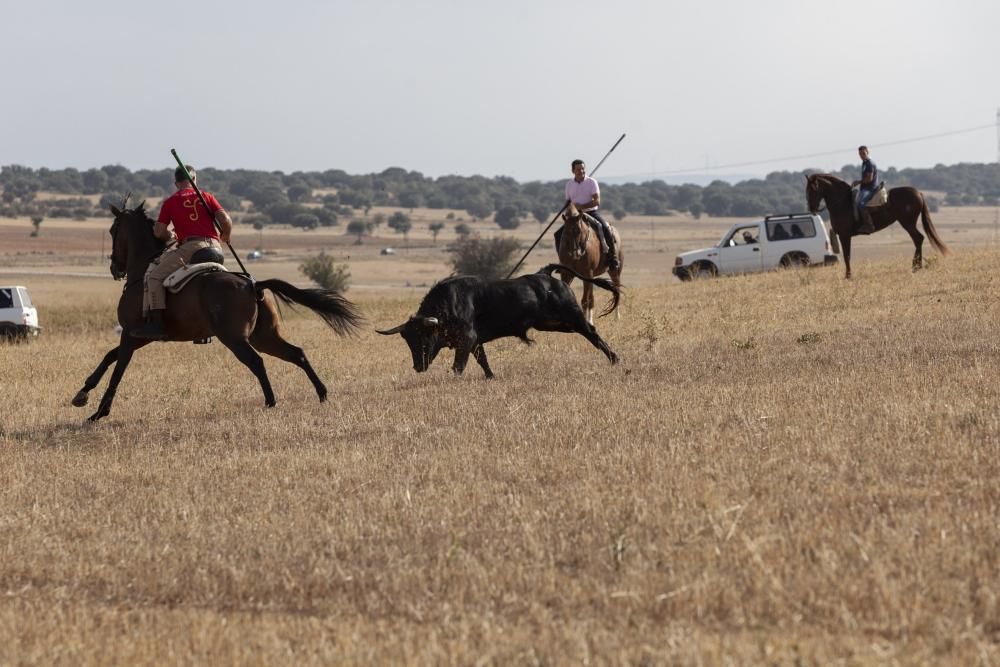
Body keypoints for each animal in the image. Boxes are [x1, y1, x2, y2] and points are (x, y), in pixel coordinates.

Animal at [73, 198, 364, 426]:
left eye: (113, 229)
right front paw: (82, 393)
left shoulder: (132, 335)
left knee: (257, 361)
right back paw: (322, 393)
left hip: (234, 338)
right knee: (297, 353)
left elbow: (118, 368)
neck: (142, 271)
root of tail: (253, 284)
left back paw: (271, 401)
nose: (115, 268)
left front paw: (98, 412)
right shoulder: (140, 337)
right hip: (264, 337)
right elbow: (109, 357)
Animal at [378, 264, 620, 378]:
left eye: (423, 336)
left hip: (572, 317)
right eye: (408, 340)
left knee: (591, 332)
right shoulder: (474, 342)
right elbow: (482, 360)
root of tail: (545, 274)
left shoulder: (467, 338)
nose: (418, 366)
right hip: (553, 324)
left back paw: (615, 359)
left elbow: (459, 365)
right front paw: (491, 376)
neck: (448, 304)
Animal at [800, 172, 948, 280]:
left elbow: (847, 255)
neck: (842, 202)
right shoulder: (845, 236)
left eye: (813, 189)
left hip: (907, 223)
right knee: (918, 239)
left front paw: (848, 275)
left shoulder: (844, 235)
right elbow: (847, 255)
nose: (811, 208)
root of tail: (918, 193)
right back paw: (917, 266)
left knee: (918, 239)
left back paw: (915, 266)